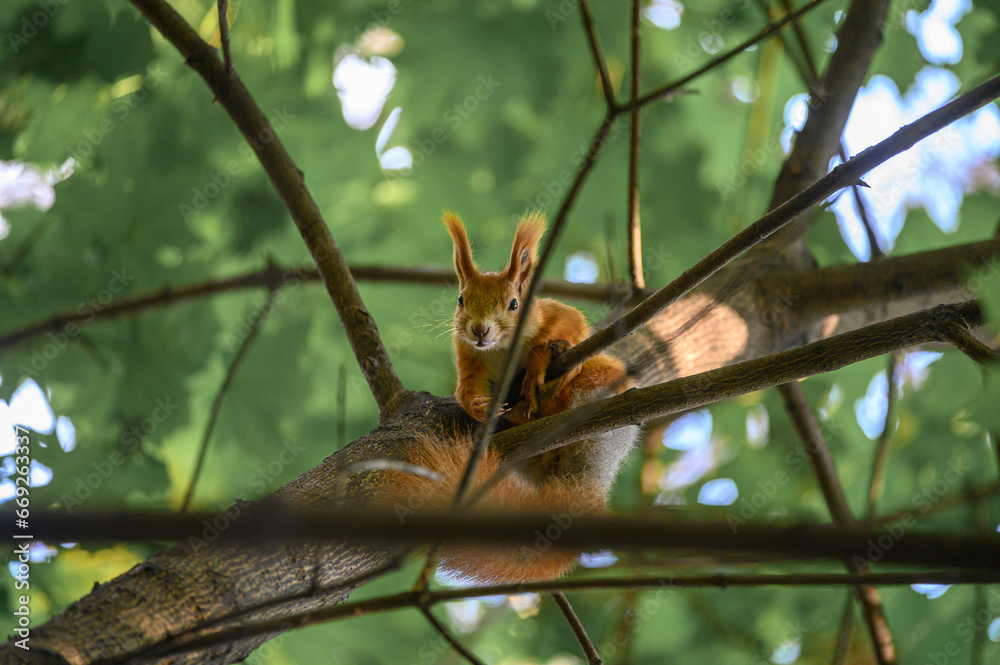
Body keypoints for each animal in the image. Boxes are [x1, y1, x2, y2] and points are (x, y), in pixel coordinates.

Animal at [372, 212, 636, 586]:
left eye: (514, 304)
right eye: (460, 300)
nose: (479, 330)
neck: (498, 349)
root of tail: (591, 475)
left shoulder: (551, 313)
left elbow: (572, 323)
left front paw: (540, 360)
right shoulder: (469, 357)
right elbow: (466, 388)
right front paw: (478, 406)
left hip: (602, 381)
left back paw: (550, 385)